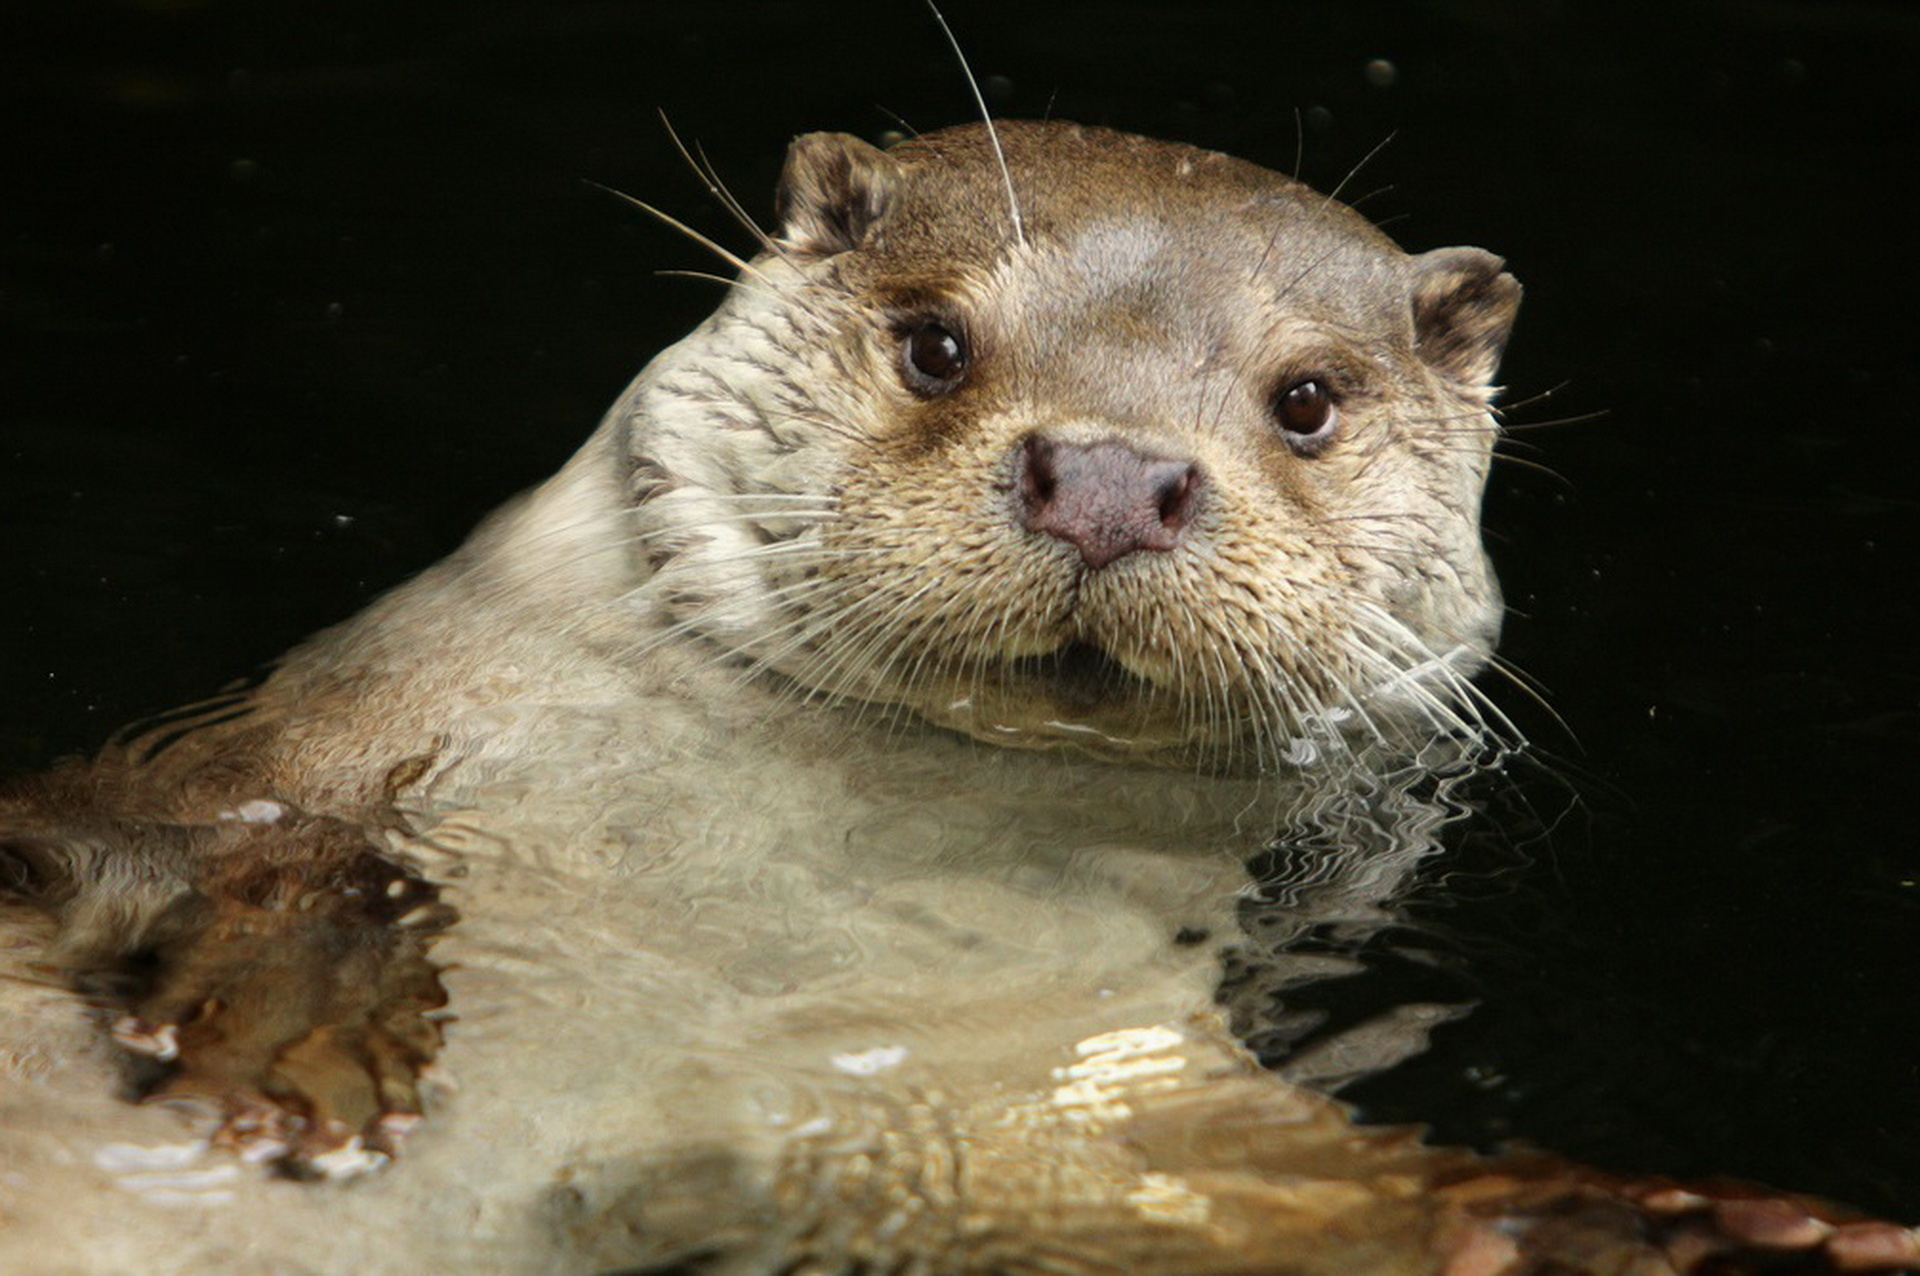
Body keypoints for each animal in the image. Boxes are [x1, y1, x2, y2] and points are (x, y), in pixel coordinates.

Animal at [3, 121, 1920, 1274]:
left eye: (1306, 399)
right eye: (935, 341)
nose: (1113, 478)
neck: (720, 921)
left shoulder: (991, 1071)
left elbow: (1182, 1182)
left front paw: (1629, 1229)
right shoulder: (281, 749)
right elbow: (202, 839)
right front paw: (301, 1031)